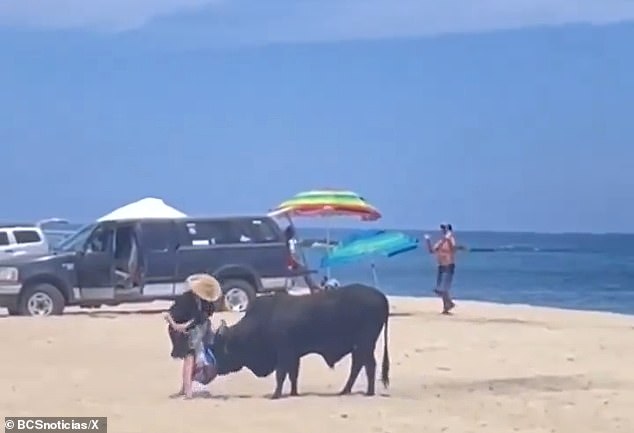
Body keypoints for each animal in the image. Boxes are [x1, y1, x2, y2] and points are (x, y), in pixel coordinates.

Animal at [212, 284, 388, 398]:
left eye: (219, 347)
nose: (218, 368)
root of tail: (382, 297)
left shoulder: (284, 354)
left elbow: (281, 375)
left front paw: (276, 395)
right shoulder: (294, 356)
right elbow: (293, 375)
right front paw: (293, 393)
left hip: (365, 345)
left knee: (368, 366)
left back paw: (368, 392)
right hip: (361, 348)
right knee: (358, 366)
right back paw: (346, 390)